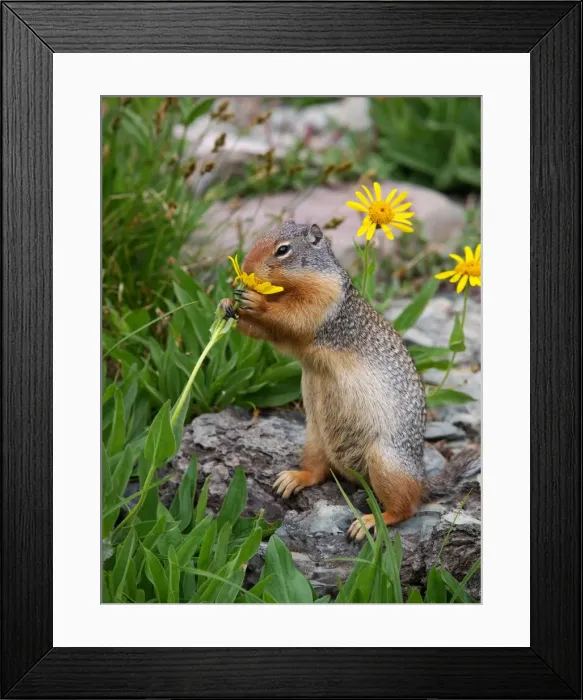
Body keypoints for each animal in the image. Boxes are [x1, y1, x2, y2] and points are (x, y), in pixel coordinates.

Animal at [221, 220, 475, 541]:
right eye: (258, 238)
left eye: (283, 250)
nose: (246, 267)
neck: (290, 286)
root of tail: (421, 478)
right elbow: (265, 331)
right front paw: (227, 302)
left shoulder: (324, 297)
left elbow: (294, 316)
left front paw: (255, 299)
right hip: (314, 439)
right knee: (319, 472)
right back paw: (293, 478)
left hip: (386, 463)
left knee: (407, 507)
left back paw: (370, 521)